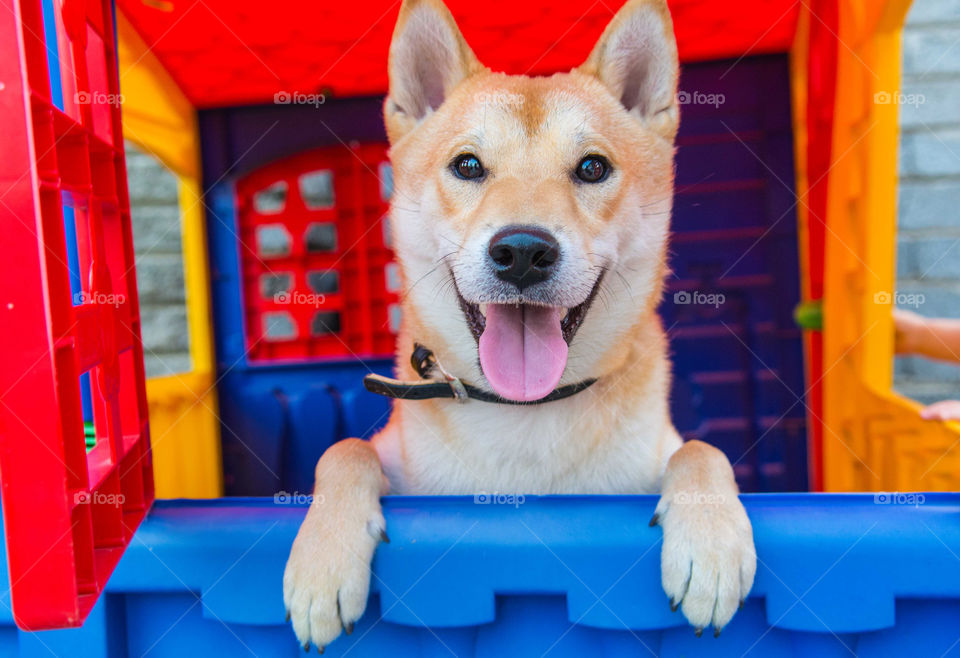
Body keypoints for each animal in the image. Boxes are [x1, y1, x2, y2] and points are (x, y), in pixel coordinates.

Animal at [284, 0, 756, 644]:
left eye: (592, 167)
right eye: (467, 165)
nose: (524, 252)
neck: (525, 415)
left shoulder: (661, 454)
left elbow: (702, 451)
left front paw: (709, 547)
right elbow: (344, 449)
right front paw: (322, 560)